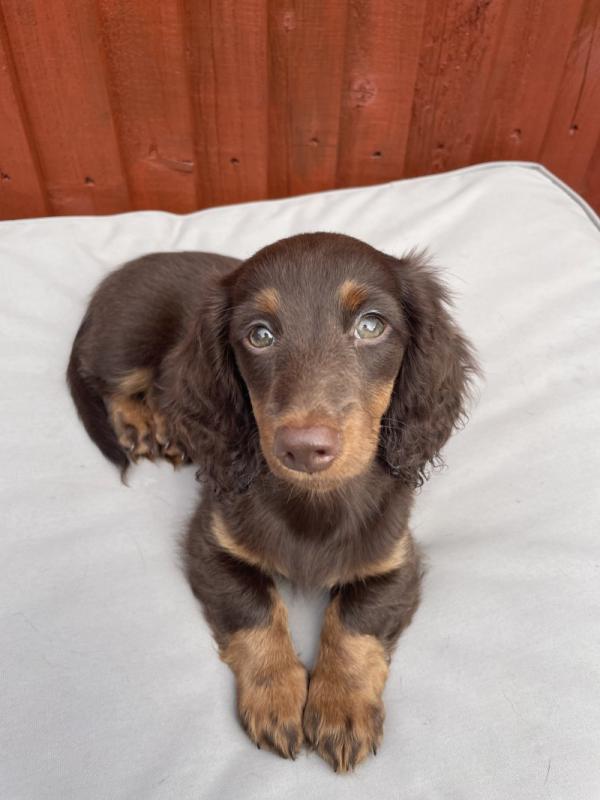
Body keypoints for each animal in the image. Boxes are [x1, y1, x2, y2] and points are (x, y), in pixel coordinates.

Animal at [68, 231, 476, 768]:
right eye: (259, 335)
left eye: (371, 325)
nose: (303, 448)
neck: (314, 502)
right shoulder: (211, 544)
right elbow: (255, 611)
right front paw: (277, 698)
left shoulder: (394, 562)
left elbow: (355, 622)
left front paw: (342, 707)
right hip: (127, 348)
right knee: (112, 384)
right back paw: (143, 421)